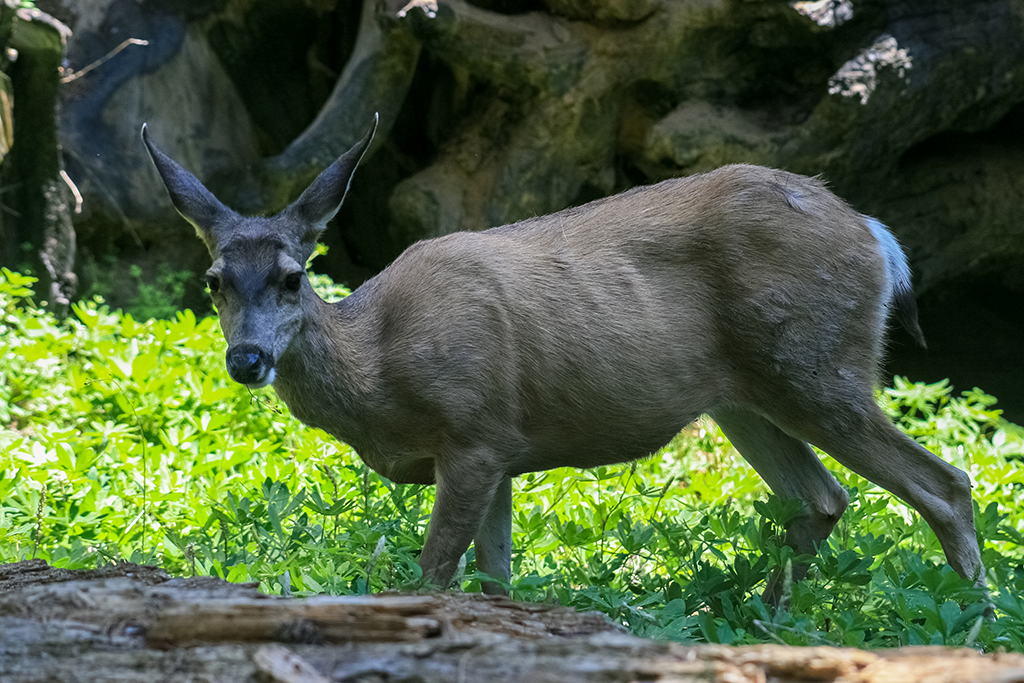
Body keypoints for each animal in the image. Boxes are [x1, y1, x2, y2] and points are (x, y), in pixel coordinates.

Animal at [140, 114, 987, 602]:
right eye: (215, 281)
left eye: (292, 276)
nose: (248, 358)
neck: (377, 368)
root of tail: (875, 234)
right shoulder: (501, 452)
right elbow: (495, 580)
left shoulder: (475, 428)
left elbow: (434, 574)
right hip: (745, 396)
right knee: (823, 498)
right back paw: (759, 616)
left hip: (818, 365)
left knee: (946, 482)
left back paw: (977, 618)